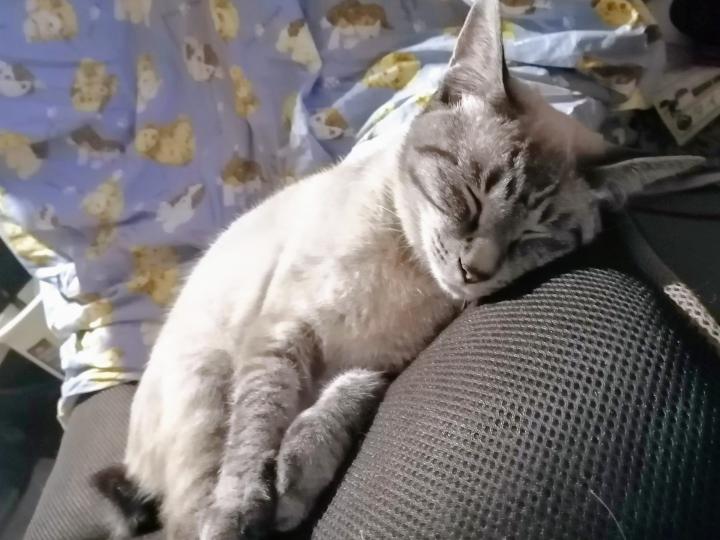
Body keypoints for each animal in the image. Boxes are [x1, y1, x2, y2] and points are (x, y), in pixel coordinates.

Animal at [92, 2, 709, 539]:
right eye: (471, 196)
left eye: (535, 236)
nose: (474, 270)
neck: (404, 275)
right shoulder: (280, 335)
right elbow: (255, 438)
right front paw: (245, 510)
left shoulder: (377, 364)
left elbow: (333, 410)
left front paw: (295, 483)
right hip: (206, 385)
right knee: (188, 507)